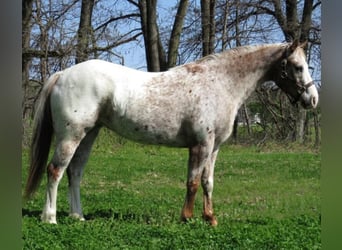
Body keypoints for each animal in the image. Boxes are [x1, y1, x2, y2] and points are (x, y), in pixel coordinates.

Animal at [25, 41, 320, 225]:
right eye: (297, 67)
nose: (313, 99)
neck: (220, 82)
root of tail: (63, 74)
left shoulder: (214, 148)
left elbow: (207, 182)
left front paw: (210, 218)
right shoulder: (201, 145)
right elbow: (192, 182)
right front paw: (187, 217)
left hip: (89, 134)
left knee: (75, 173)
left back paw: (78, 216)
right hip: (71, 135)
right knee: (55, 171)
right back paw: (50, 217)